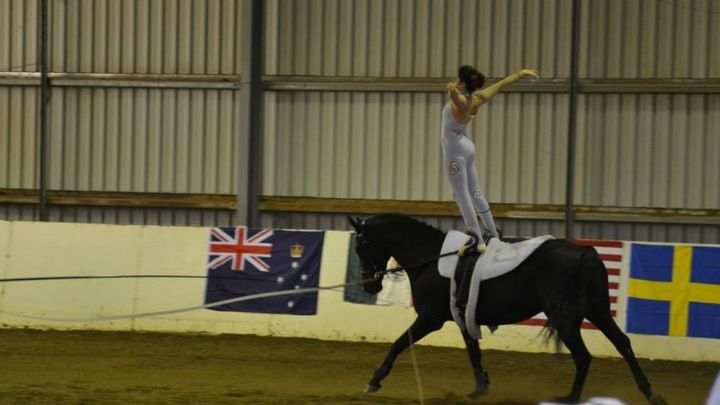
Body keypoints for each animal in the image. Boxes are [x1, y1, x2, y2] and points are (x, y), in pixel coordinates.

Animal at [348, 213, 668, 402]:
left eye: (362, 246)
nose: (369, 286)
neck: (431, 257)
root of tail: (586, 252)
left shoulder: (430, 318)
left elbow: (399, 343)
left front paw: (374, 381)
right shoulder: (462, 316)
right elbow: (473, 352)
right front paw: (480, 388)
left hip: (566, 318)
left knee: (584, 356)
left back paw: (569, 398)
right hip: (597, 310)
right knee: (622, 343)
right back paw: (650, 393)